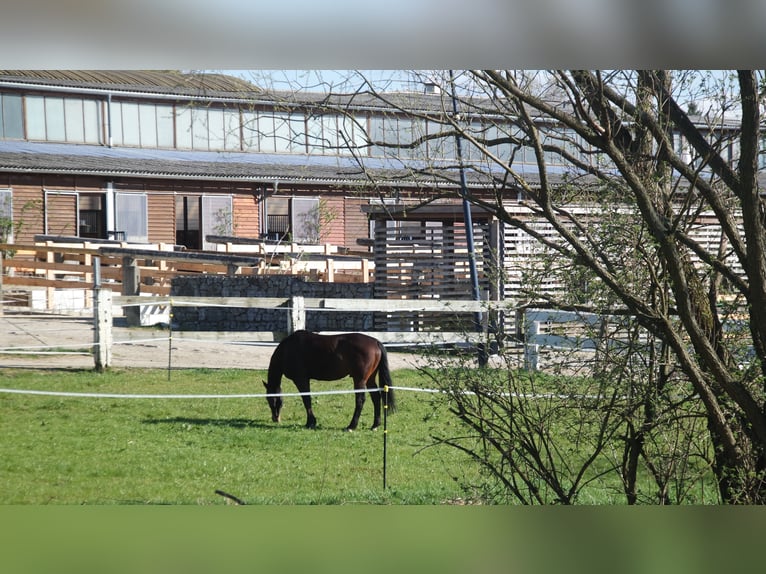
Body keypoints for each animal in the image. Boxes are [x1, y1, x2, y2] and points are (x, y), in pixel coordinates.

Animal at [264, 330, 396, 430]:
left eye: (269, 399)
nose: (275, 418)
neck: (288, 349)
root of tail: (375, 342)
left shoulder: (301, 379)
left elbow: (306, 399)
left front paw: (310, 422)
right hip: (369, 379)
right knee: (376, 398)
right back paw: (375, 425)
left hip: (360, 380)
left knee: (360, 401)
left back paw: (351, 426)